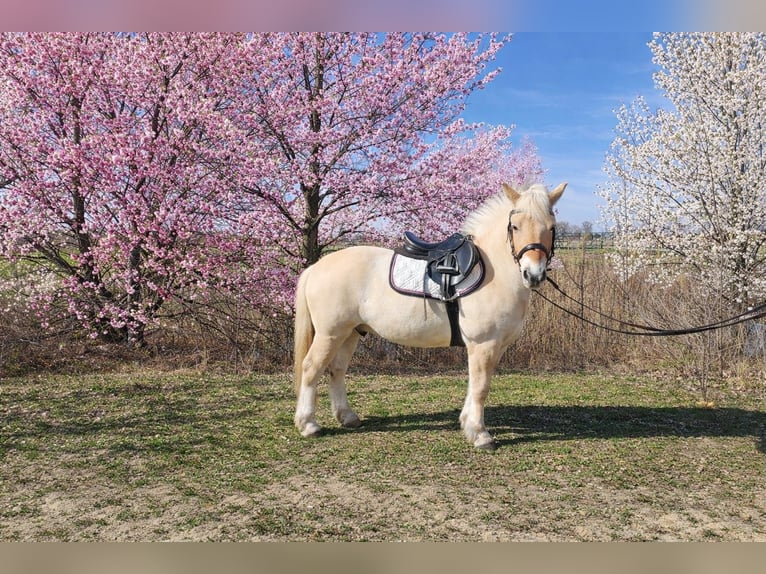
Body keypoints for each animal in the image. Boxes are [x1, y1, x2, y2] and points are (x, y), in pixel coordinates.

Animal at [293, 181, 567, 450]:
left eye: (551, 227)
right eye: (515, 226)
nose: (533, 275)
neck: (493, 272)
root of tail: (316, 267)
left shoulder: (495, 346)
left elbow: (475, 384)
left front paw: (467, 423)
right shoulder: (484, 344)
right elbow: (481, 387)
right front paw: (480, 434)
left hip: (350, 333)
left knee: (336, 370)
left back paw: (347, 417)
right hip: (330, 334)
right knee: (311, 368)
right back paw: (308, 424)